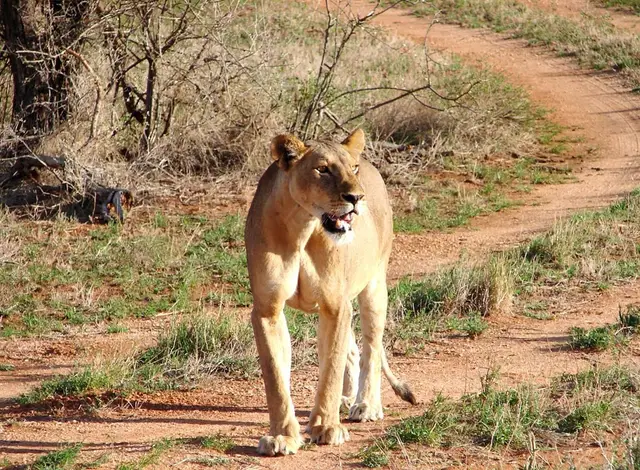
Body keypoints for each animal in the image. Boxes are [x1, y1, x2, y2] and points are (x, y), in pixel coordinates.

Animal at [245, 128, 416, 457]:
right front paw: (282, 436)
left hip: (374, 286)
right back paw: (348, 399)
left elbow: (331, 371)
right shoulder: (267, 309)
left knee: (371, 347)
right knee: (352, 348)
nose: (356, 197)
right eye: (322, 169)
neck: (302, 227)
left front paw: (326, 427)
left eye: (353, 169)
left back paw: (366, 405)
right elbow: (276, 377)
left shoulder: (335, 305)